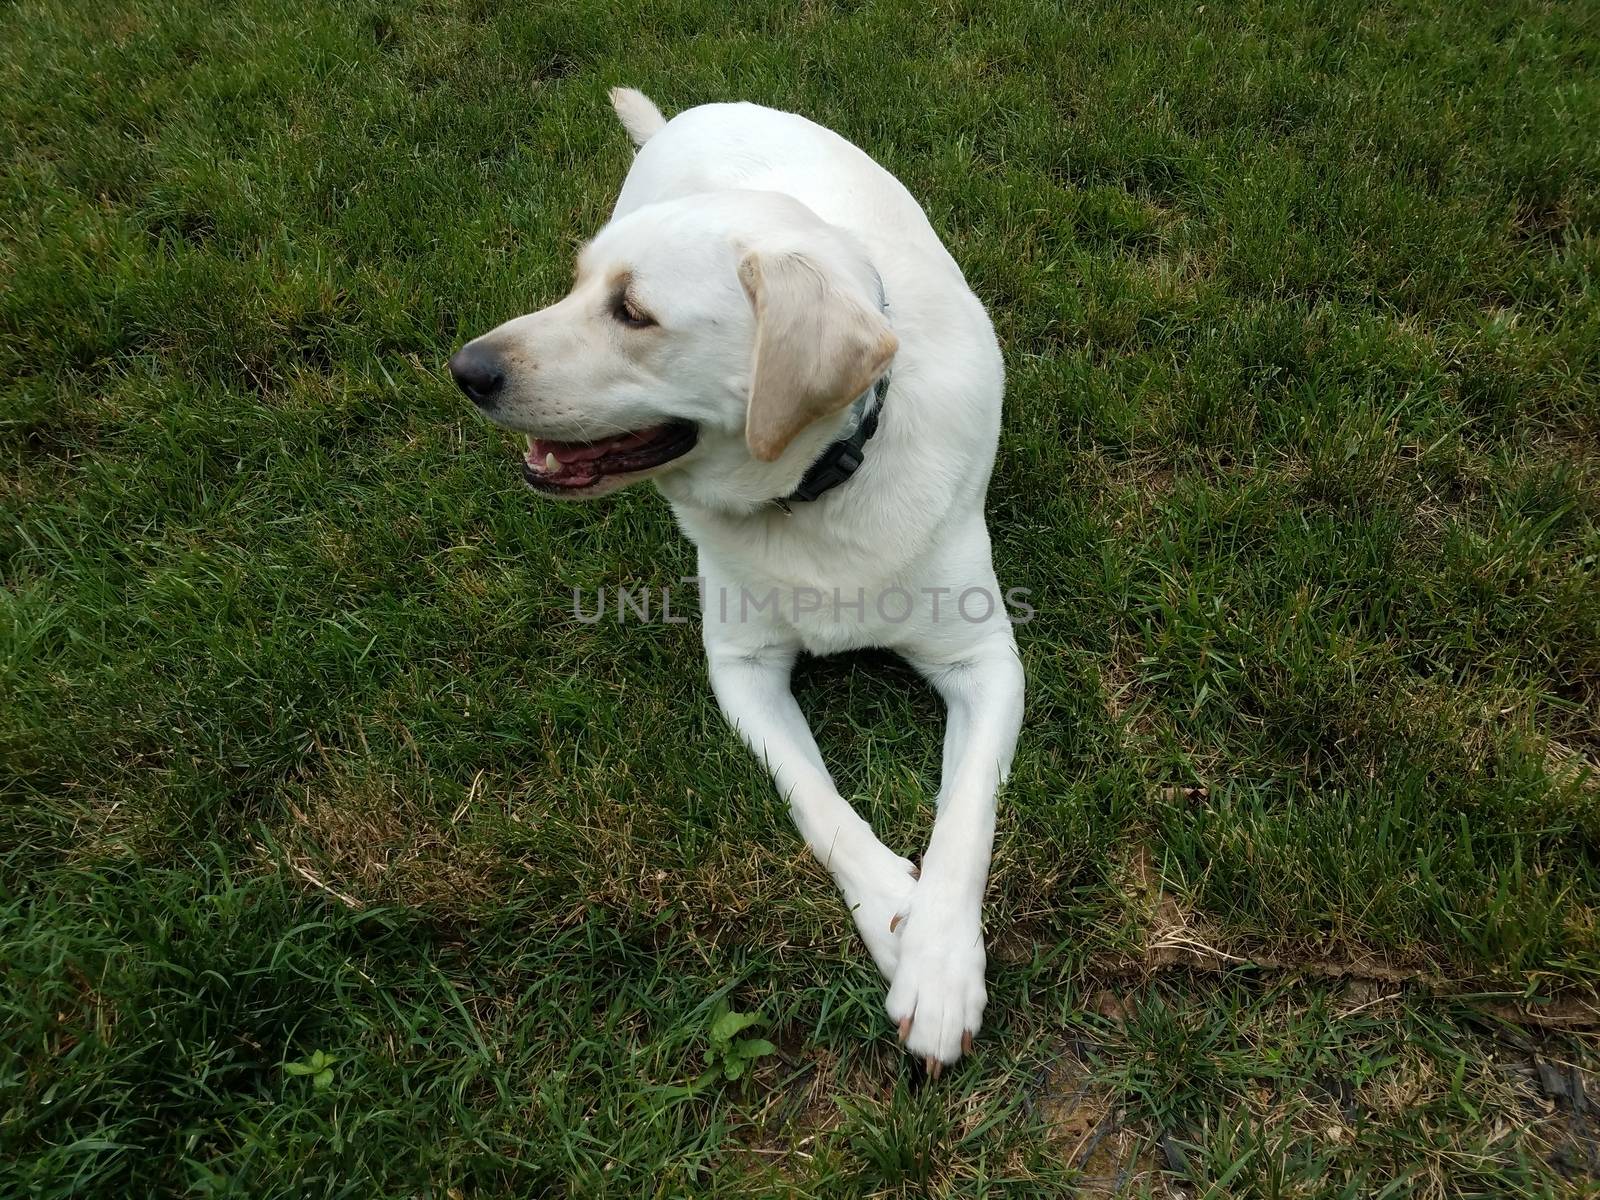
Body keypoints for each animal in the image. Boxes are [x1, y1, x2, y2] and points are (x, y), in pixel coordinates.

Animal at [451, 89, 1024, 1075]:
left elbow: (965, 821)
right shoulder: (742, 669)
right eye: (575, 286)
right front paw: (893, 911)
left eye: (632, 312)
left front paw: (941, 967)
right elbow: (818, 805)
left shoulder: (986, 660)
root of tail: (695, 108)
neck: (819, 489)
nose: (466, 370)